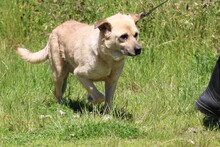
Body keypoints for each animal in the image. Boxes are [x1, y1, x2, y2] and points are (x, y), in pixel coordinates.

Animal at [15, 1, 167, 112]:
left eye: (136, 35)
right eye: (123, 37)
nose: (138, 49)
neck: (106, 57)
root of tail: (55, 30)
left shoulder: (112, 81)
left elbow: (108, 99)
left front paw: (107, 116)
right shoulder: (80, 74)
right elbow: (98, 95)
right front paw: (92, 100)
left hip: (64, 76)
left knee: (59, 90)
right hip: (58, 72)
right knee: (57, 92)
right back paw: (60, 106)